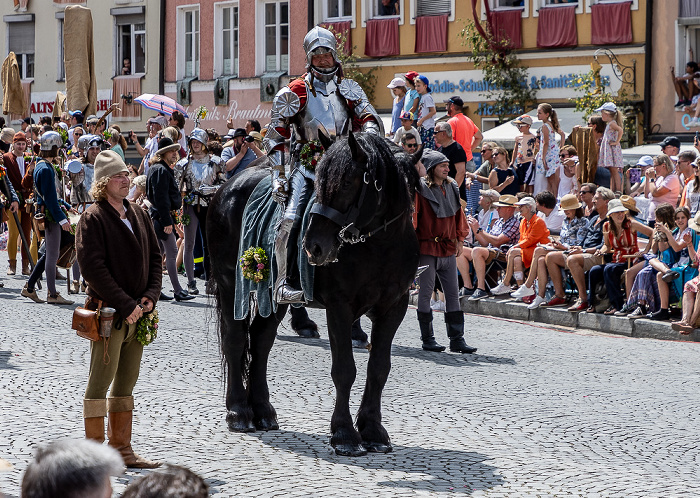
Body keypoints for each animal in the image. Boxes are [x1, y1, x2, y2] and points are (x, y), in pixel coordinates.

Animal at [208, 131, 422, 456]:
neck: (380, 245)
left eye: (347, 183)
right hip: (230, 284)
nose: (314, 246)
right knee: (235, 341)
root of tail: (226, 187)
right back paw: (239, 412)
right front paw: (345, 434)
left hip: (275, 300)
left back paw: (263, 412)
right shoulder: (339, 307)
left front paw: (372, 431)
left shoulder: (392, 308)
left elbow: (379, 368)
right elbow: (344, 369)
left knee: (261, 342)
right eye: (322, 181)